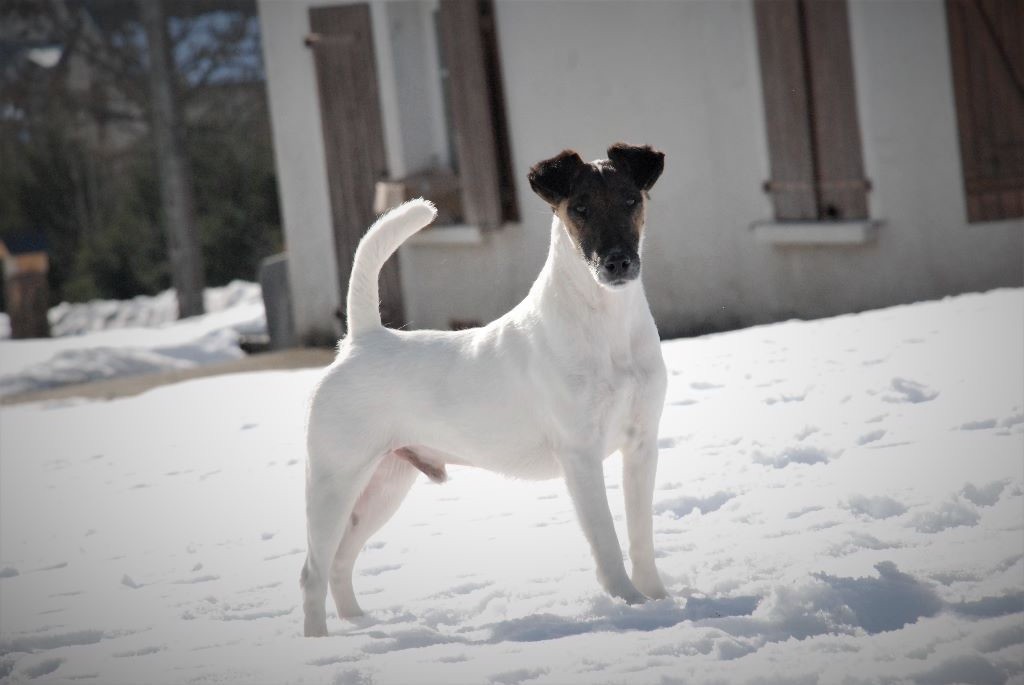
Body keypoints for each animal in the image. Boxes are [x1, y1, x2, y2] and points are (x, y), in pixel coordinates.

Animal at [301, 140, 671, 634]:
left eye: (632, 200)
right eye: (580, 208)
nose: (617, 262)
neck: (607, 327)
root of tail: (361, 340)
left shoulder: (642, 445)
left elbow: (641, 534)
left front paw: (658, 599)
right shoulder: (580, 455)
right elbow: (607, 539)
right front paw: (630, 604)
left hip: (384, 485)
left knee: (341, 561)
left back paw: (361, 624)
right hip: (334, 481)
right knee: (313, 572)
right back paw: (319, 641)